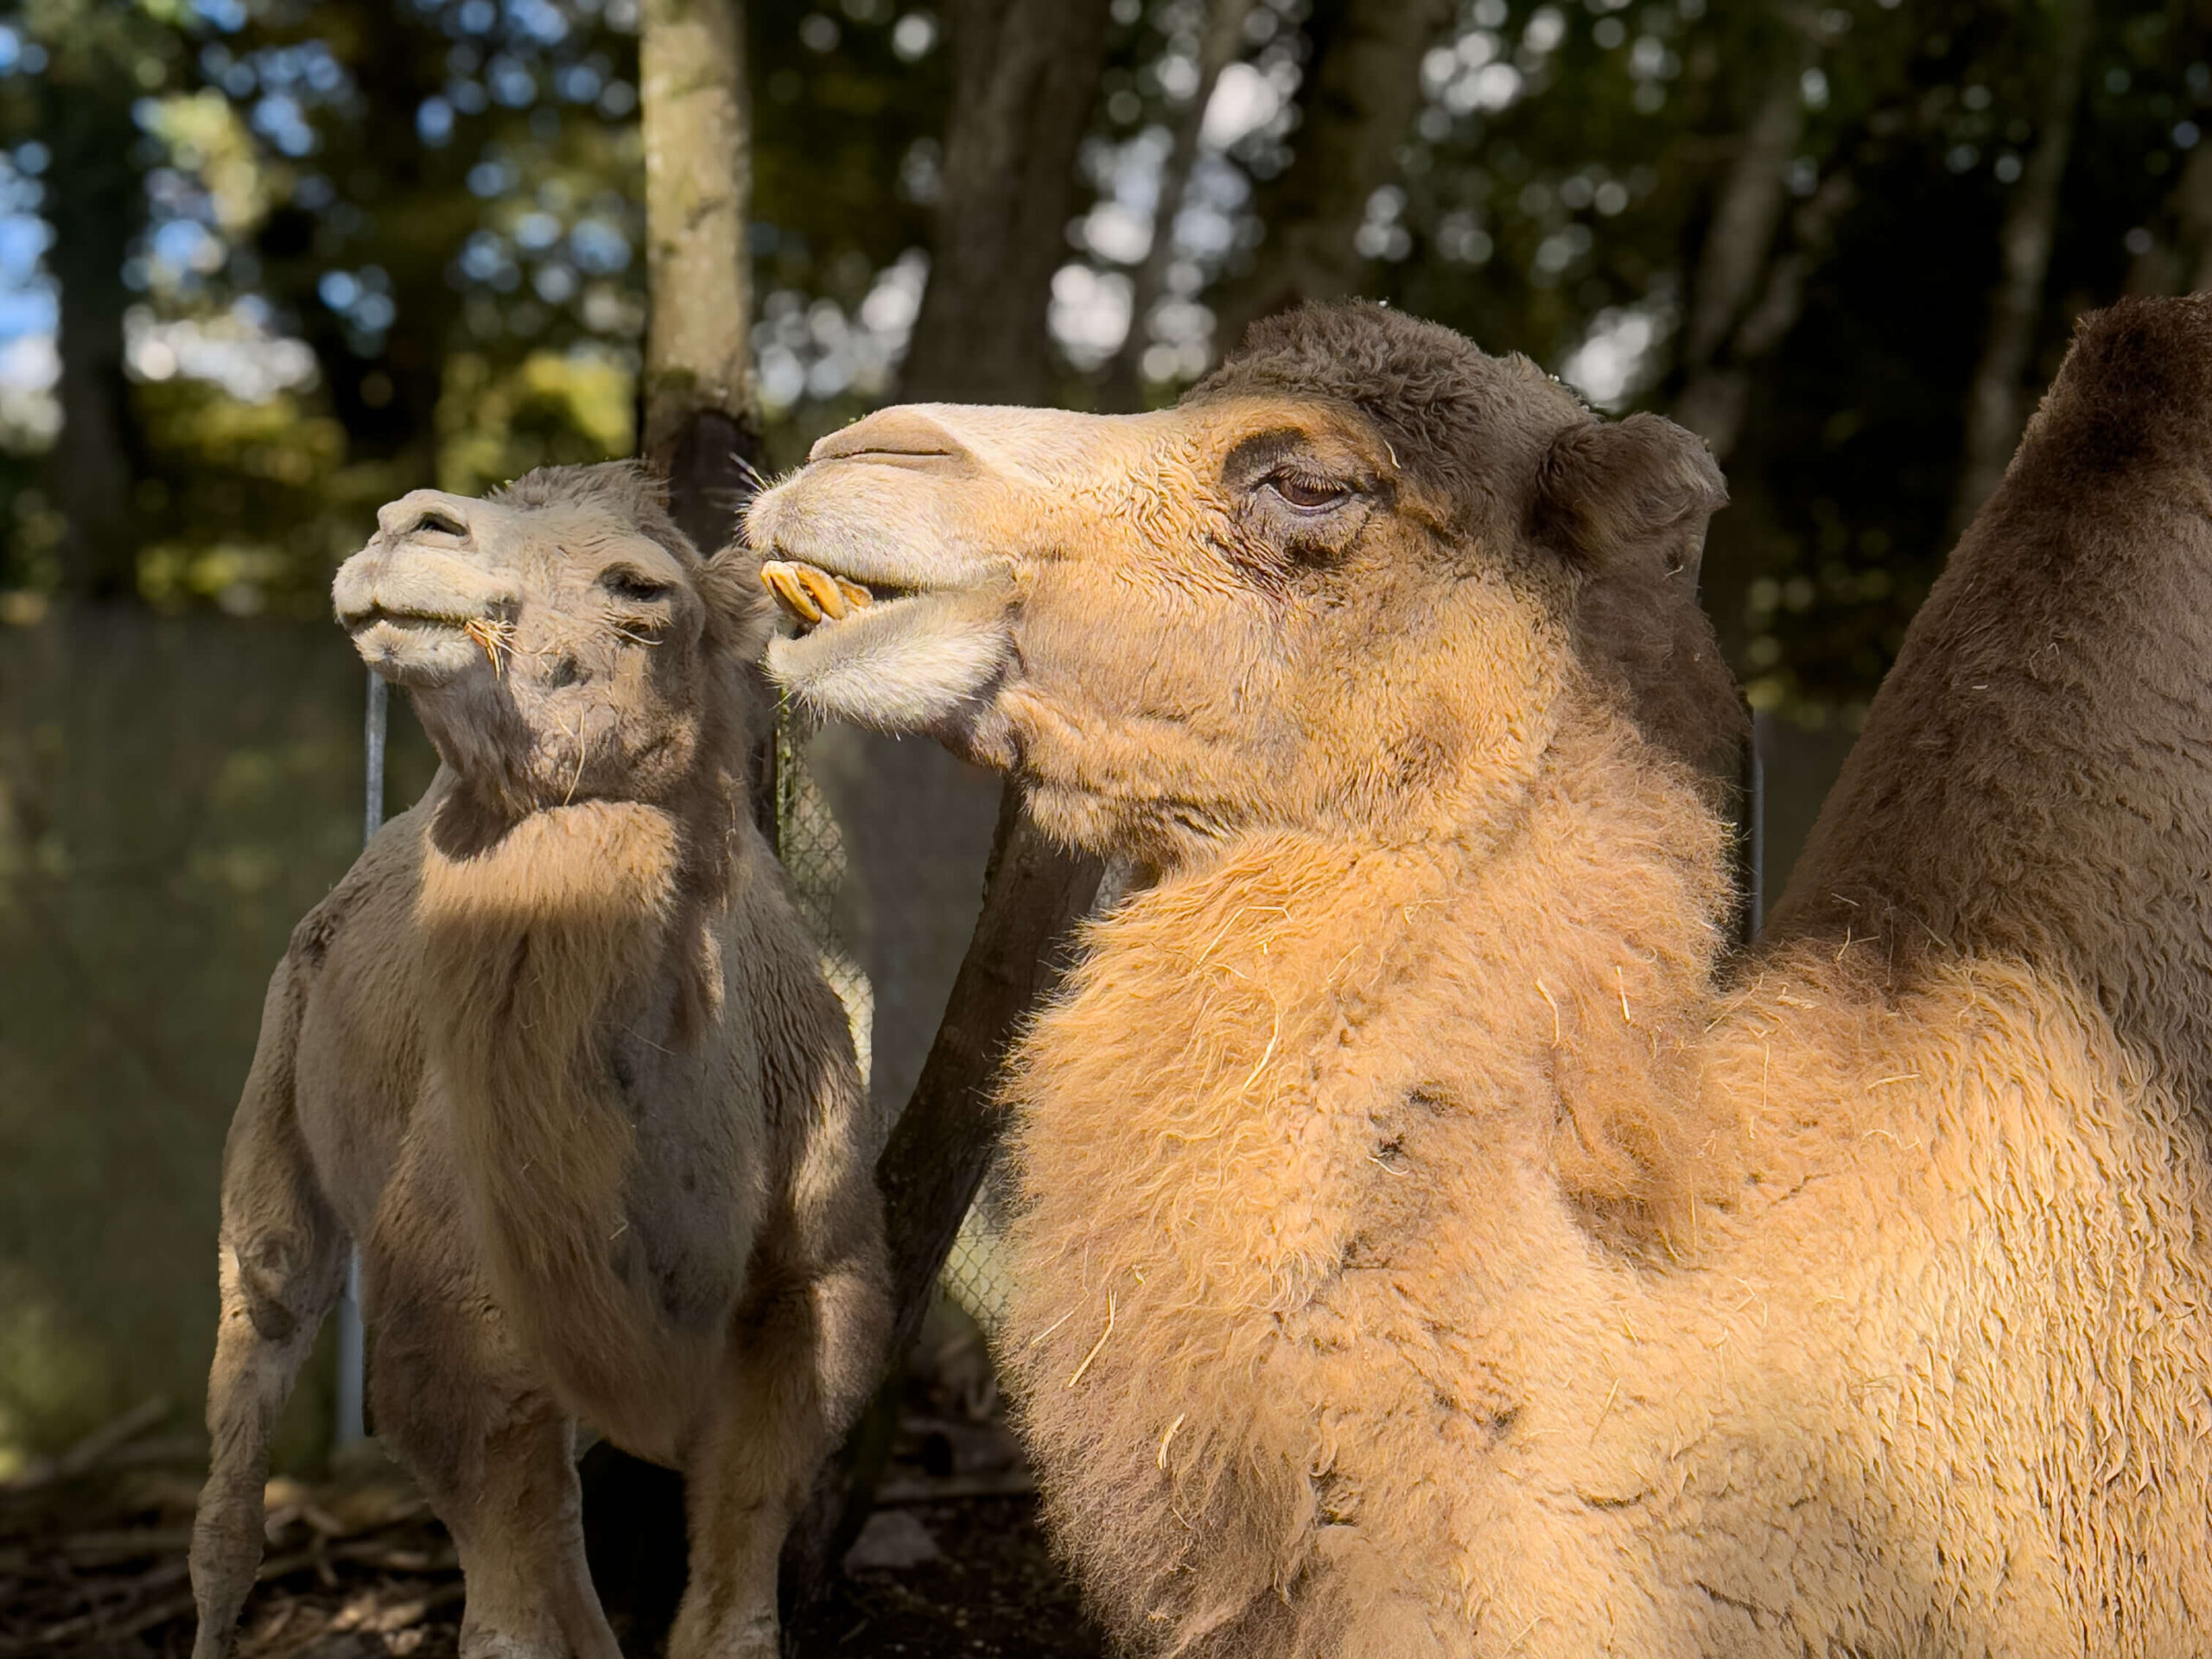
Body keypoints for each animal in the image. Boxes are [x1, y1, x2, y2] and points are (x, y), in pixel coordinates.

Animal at [183, 462, 889, 1659]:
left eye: (638, 588)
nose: (405, 525)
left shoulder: (819, 1280)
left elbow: (741, 1558)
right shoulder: (456, 1307)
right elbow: (511, 1600)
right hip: (277, 1116)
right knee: (252, 1378)